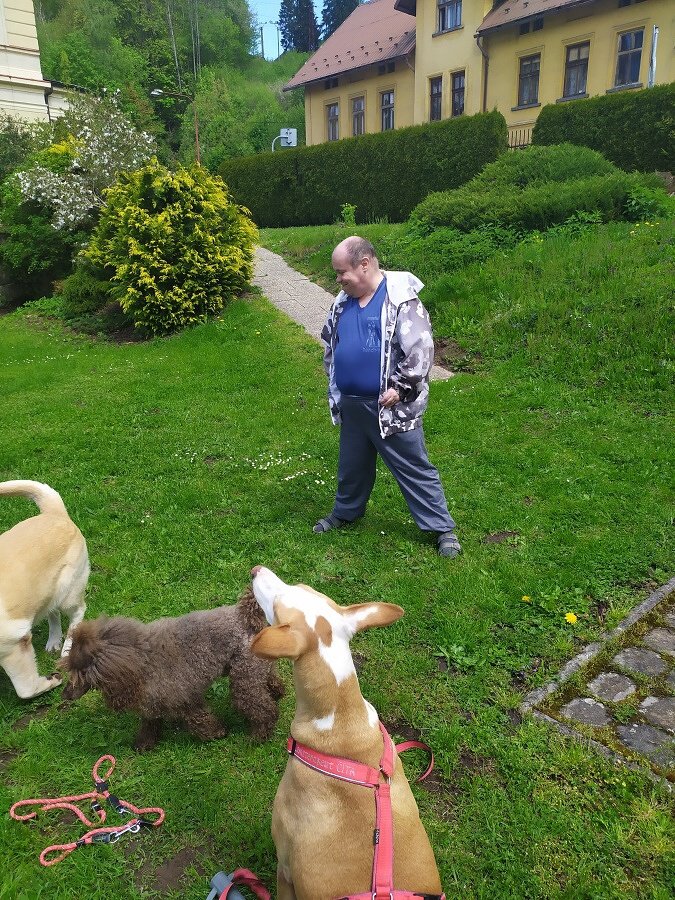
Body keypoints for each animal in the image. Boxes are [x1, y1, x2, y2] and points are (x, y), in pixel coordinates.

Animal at [0, 480, 89, 699]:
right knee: (53, 614)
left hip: (67, 594)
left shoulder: (13, 645)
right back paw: (54, 641)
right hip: (47, 593)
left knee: (78, 612)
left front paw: (51, 680)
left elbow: (25, 689)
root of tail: (54, 513)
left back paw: (67, 649)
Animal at [61, 588, 285, 751]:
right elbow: (149, 723)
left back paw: (259, 735)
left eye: (80, 675)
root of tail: (246, 616)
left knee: (263, 709)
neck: (141, 659)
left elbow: (200, 721)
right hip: (251, 667)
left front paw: (218, 733)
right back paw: (277, 693)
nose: (64, 695)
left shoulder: (184, 699)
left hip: (244, 680)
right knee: (271, 681)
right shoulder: (153, 701)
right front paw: (143, 745)